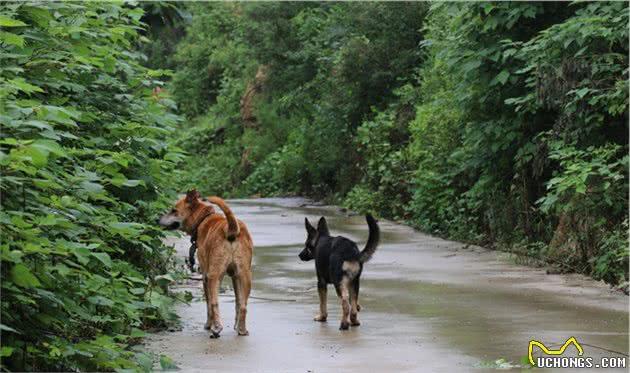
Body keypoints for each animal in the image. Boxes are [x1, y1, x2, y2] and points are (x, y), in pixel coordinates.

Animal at [160, 189, 254, 338]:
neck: (202, 219)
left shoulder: (204, 276)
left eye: (174, 210)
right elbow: (238, 302)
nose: (157, 219)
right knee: (244, 305)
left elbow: (209, 304)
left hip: (213, 276)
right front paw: (236, 325)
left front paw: (208, 324)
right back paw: (242, 329)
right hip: (245, 276)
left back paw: (216, 328)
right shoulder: (235, 277)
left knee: (214, 303)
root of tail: (231, 229)